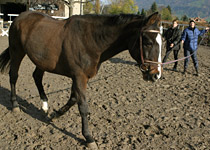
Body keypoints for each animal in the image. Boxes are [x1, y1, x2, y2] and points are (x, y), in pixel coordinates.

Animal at [0, 10, 162, 149]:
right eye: (148, 41)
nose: (155, 75)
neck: (90, 40)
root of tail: (20, 17)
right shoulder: (79, 77)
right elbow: (83, 107)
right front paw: (89, 138)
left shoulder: (80, 78)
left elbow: (73, 99)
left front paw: (54, 115)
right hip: (17, 52)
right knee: (13, 76)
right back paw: (15, 105)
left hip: (42, 60)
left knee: (37, 76)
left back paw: (45, 105)